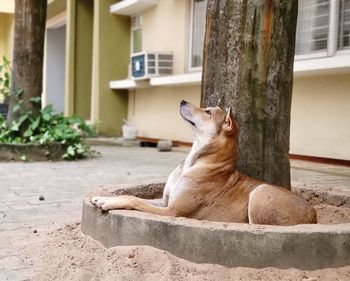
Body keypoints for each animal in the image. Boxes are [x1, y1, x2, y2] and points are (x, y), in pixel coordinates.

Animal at [91, 99, 318, 224]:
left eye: (208, 112)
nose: (182, 101)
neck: (195, 160)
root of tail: (313, 215)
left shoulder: (172, 211)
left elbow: (134, 200)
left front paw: (107, 202)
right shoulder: (165, 202)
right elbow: (131, 195)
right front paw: (104, 198)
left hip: (260, 192)